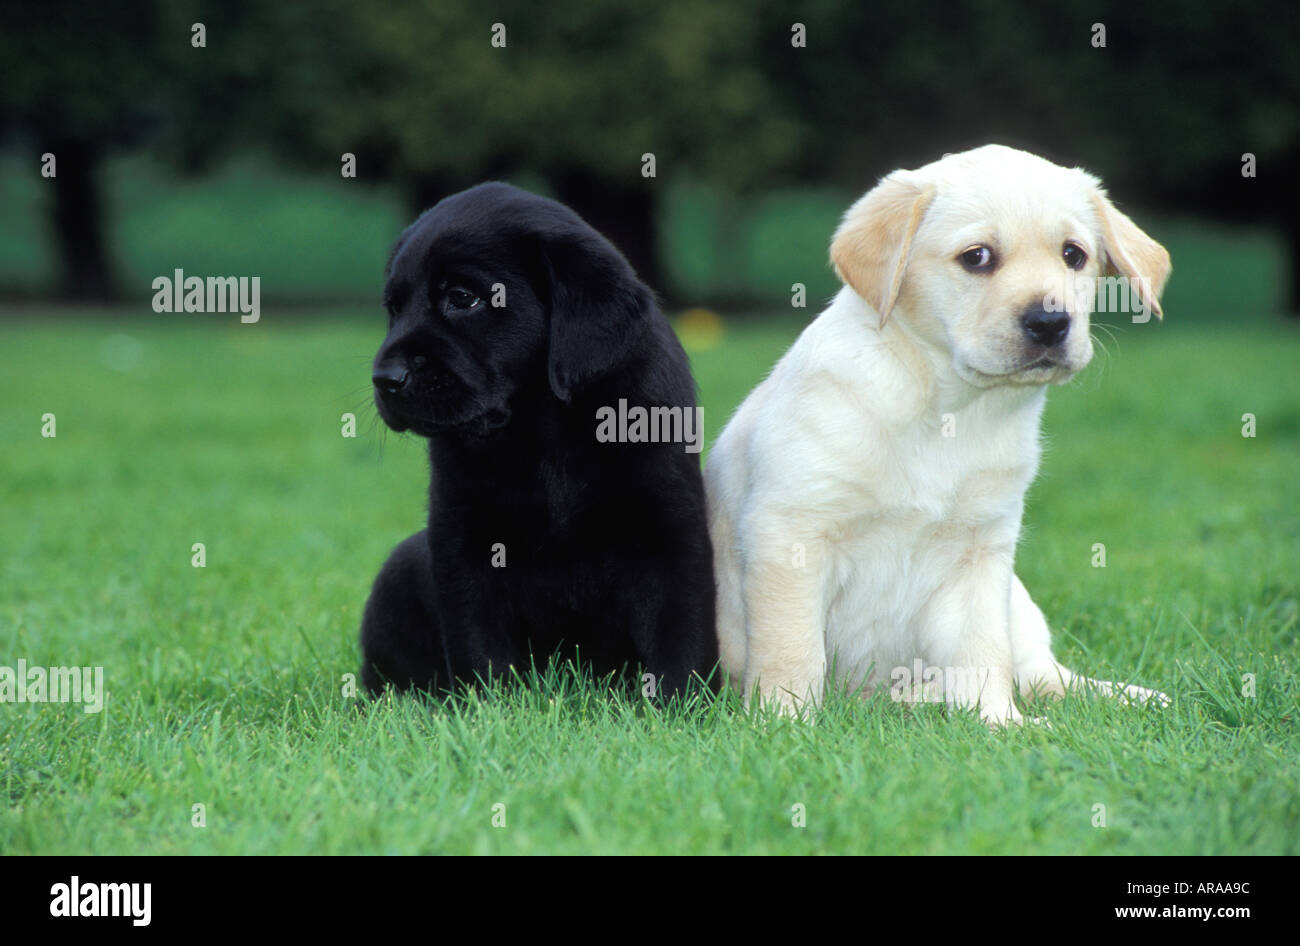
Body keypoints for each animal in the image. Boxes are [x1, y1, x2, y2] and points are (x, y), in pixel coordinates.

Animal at [361, 184, 717, 696]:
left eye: (462, 298)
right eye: (393, 308)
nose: (385, 378)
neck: (541, 428)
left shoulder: (670, 530)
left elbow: (681, 633)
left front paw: (680, 703)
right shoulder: (462, 536)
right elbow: (477, 642)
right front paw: (488, 706)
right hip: (401, 567)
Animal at [707, 142, 1175, 722]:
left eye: (1074, 255)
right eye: (977, 257)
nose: (1050, 323)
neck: (949, 409)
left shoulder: (979, 553)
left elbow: (984, 653)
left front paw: (999, 722)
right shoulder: (790, 534)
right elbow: (792, 652)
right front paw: (783, 723)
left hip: (1018, 602)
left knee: (1045, 674)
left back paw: (1132, 698)